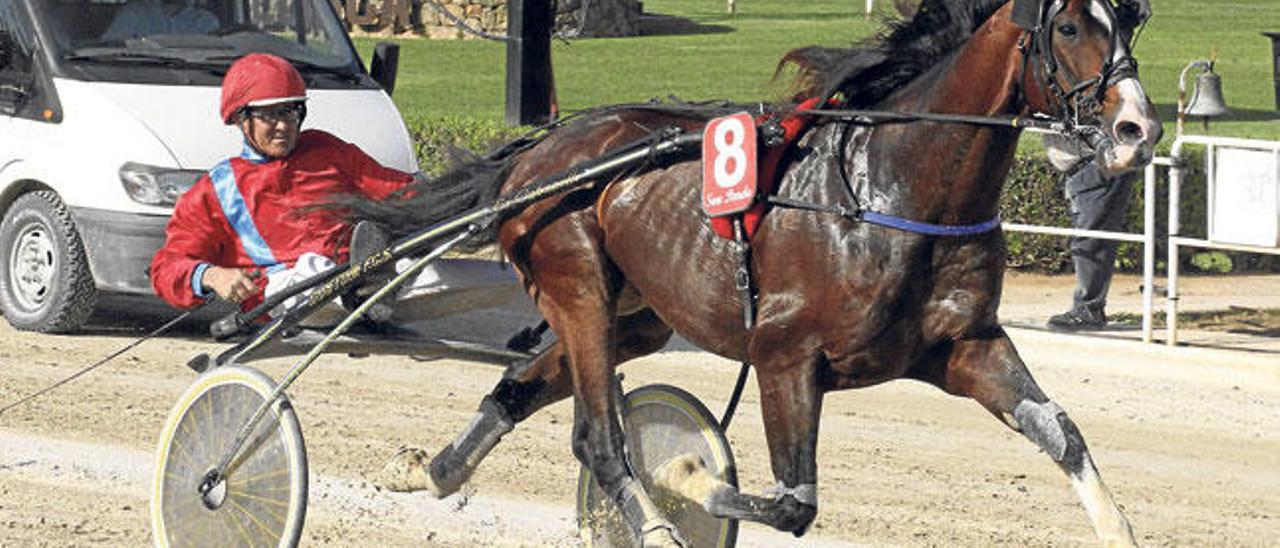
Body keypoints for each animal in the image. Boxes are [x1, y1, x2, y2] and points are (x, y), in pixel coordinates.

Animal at [358, 0, 1162, 542]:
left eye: (1132, 21)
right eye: (1069, 28)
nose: (1138, 130)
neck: (889, 191)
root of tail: (541, 147)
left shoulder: (964, 347)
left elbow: (1062, 432)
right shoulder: (784, 356)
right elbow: (792, 501)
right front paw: (683, 475)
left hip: (638, 314)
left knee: (521, 386)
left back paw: (434, 469)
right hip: (577, 283)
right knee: (601, 440)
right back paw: (648, 518)